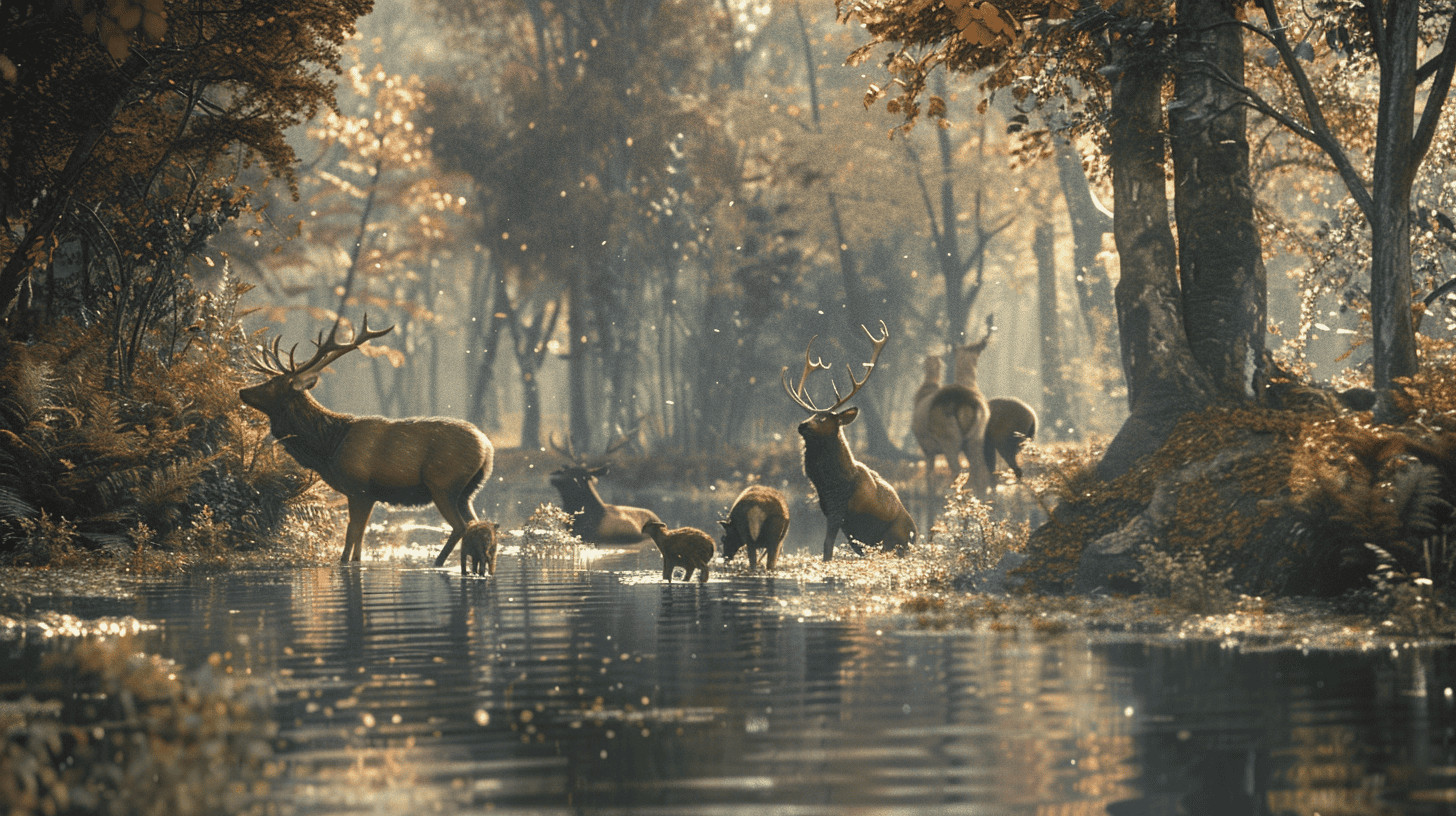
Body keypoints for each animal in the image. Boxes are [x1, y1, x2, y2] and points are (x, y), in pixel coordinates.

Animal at [239, 317, 494, 567]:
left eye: (272, 384)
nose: (242, 390)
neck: (329, 446)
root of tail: (487, 448)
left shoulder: (359, 488)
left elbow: (351, 536)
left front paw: (344, 562)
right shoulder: (368, 495)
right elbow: (359, 541)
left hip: (444, 484)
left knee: (460, 526)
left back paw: (438, 563)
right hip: (467, 492)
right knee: (477, 524)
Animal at [783, 321, 917, 561]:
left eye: (823, 417)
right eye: (811, 415)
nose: (802, 425)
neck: (830, 483)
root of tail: (915, 535)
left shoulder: (838, 511)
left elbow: (827, 547)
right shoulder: (831, 513)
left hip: (892, 540)